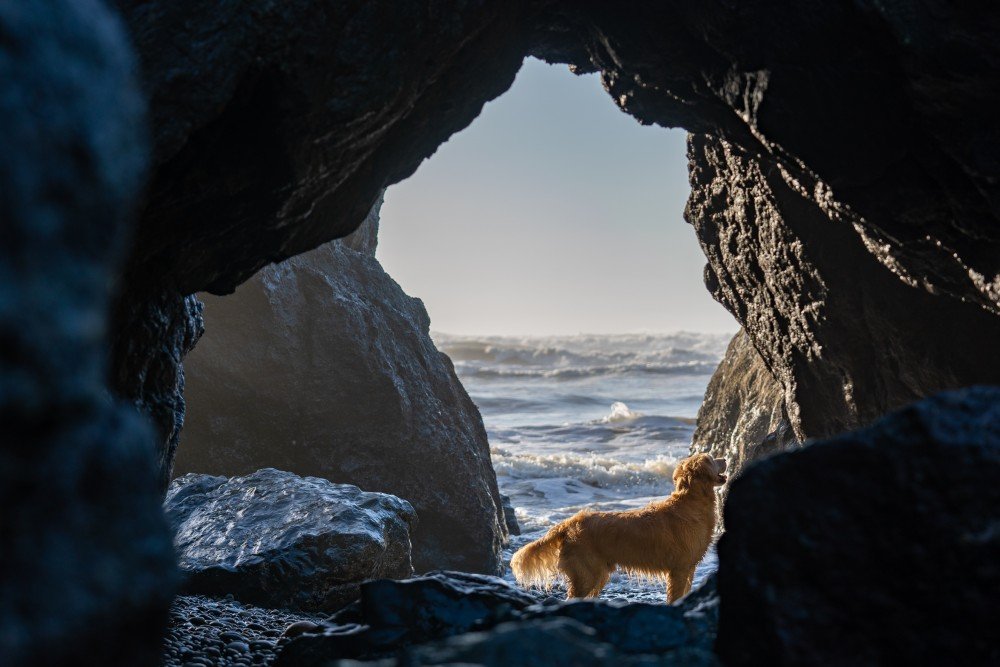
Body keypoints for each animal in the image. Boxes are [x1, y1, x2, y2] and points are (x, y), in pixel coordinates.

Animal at [508, 454, 728, 604]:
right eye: (711, 458)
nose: (725, 458)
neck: (691, 502)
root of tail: (569, 523)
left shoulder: (689, 568)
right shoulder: (679, 569)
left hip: (597, 574)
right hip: (587, 575)